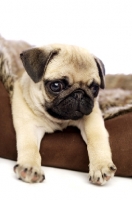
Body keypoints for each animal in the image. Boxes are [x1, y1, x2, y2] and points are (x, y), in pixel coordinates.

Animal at [11, 43, 116, 184]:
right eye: (56, 86)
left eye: (94, 88)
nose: (79, 94)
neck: (59, 119)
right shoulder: (28, 125)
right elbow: (29, 145)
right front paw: (30, 167)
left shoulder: (92, 119)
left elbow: (96, 139)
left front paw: (101, 166)